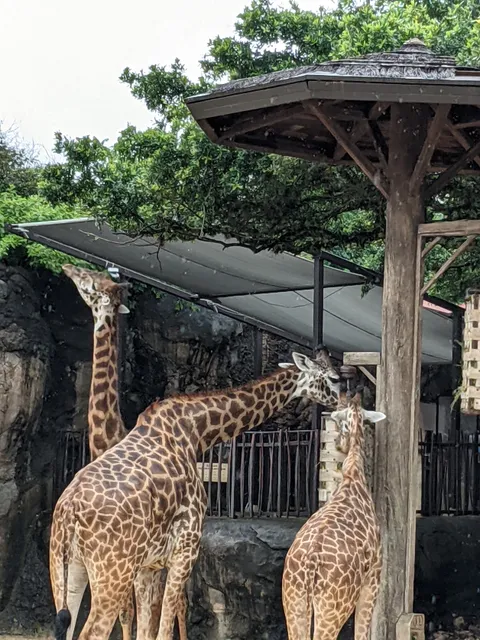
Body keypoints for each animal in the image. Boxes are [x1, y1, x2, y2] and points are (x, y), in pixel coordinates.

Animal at [49, 348, 342, 640]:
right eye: (334, 378)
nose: (343, 401)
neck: (197, 431)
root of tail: (69, 510)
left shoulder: (147, 566)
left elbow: (147, 629)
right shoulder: (185, 549)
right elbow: (164, 628)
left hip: (67, 569)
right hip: (112, 573)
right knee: (92, 632)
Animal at [282, 392, 386, 640]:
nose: (339, 444)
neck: (353, 474)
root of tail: (310, 564)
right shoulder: (373, 578)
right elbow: (362, 633)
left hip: (293, 600)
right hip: (333, 607)